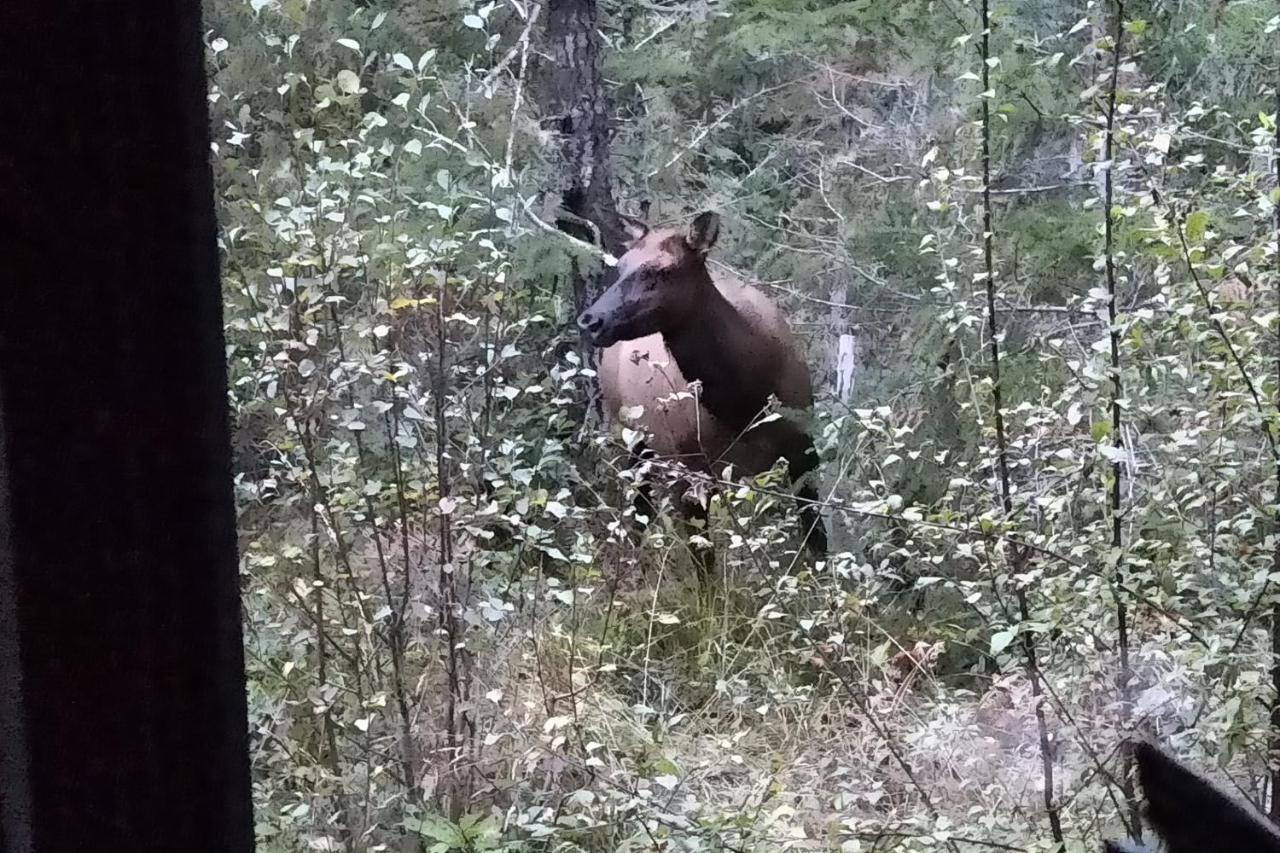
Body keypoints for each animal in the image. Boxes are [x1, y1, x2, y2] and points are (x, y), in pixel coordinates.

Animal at [573, 211, 829, 555]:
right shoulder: (690, 474)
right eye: (622, 264)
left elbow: (818, 543)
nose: (590, 321)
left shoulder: (804, 451)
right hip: (636, 438)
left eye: (664, 269)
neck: (745, 402)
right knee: (640, 505)